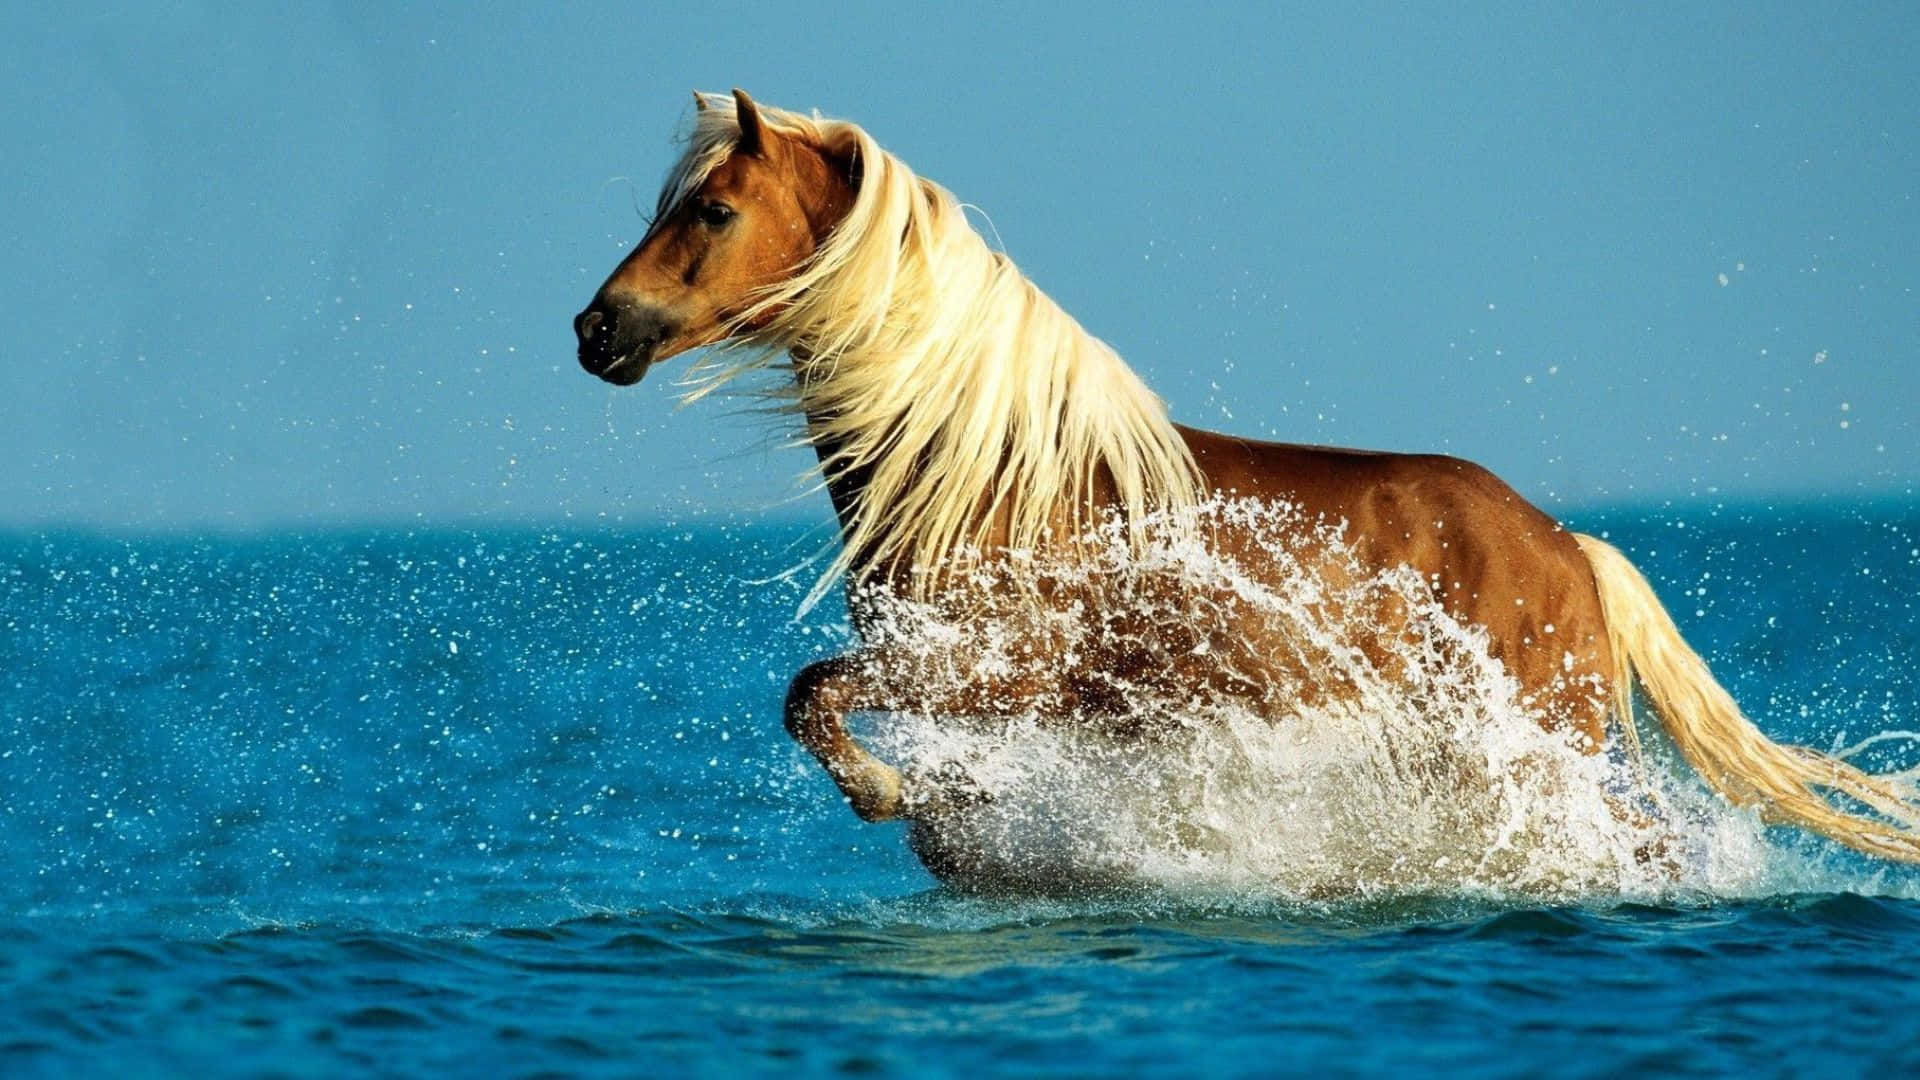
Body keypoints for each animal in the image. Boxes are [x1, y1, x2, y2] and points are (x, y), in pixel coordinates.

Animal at [573, 89, 1920, 877]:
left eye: (714, 209)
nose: (598, 331)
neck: (992, 476)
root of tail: (1568, 548)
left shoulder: (990, 670)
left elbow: (811, 701)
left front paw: (887, 796)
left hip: (1535, 753)